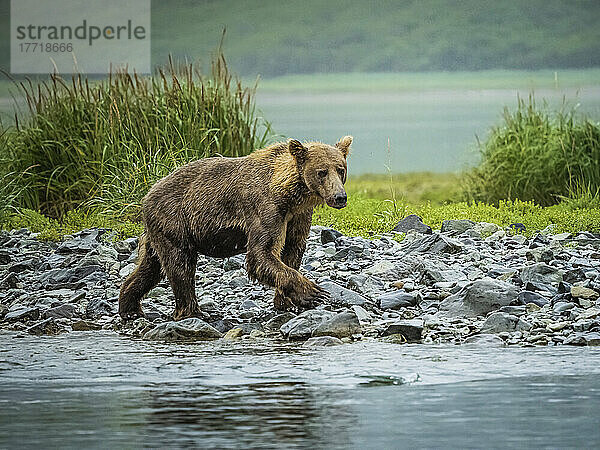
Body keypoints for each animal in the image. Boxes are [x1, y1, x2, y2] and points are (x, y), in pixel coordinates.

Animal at [119, 136, 354, 320]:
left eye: (340, 169)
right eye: (322, 172)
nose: (340, 197)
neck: (289, 194)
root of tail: (147, 194)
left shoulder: (298, 216)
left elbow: (292, 251)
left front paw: (287, 302)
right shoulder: (265, 209)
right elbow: (261, 254)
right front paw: (314, 292)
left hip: (158, 231)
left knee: (150, 268)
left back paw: (129, 307)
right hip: (175, 220)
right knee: (180, 265)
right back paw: (195, 312)